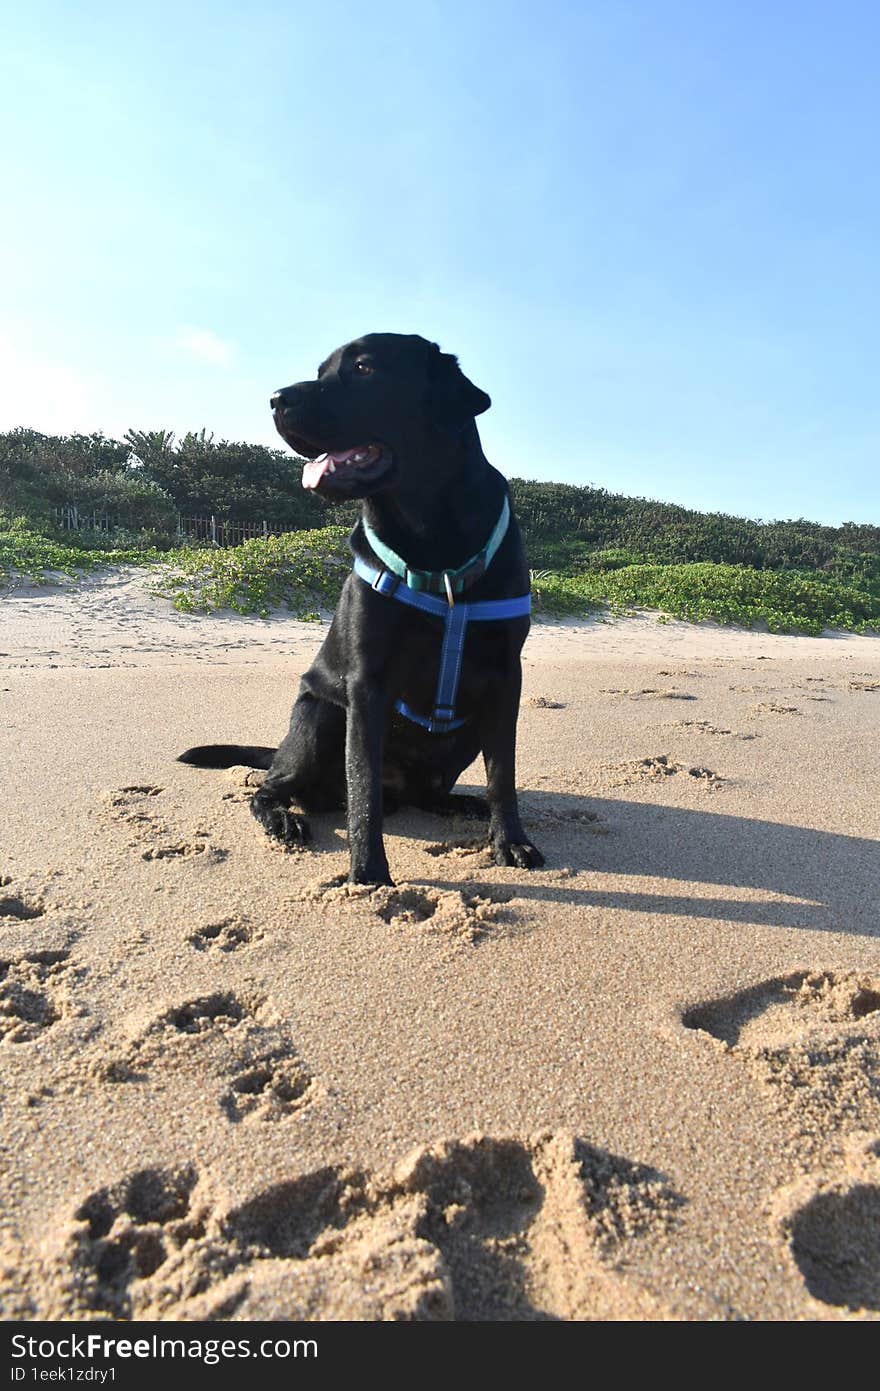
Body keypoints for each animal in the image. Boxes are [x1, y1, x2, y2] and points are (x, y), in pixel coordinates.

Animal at [177, 331, 542, 884]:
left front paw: (512, 841)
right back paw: (283, 819)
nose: (275, 400)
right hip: (321, 718)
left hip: (464, 728)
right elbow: (362, 788)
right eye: (320, 371)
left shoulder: (505, 678)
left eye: (365, 367)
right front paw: (368, 874)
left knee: (427, 793)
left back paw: (463, 805)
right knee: (270, 788)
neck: (431, 534)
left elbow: (504, 773)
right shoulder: (368, 683)